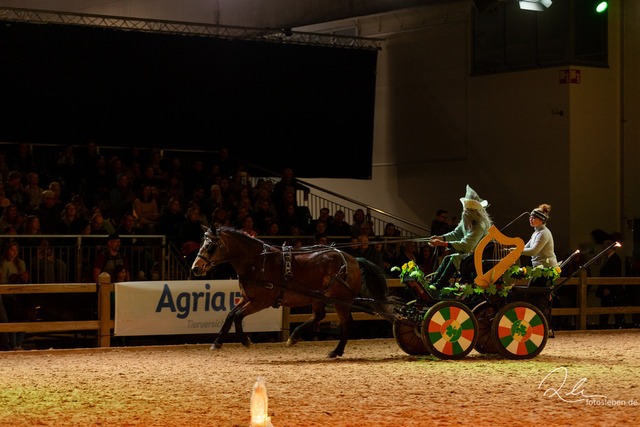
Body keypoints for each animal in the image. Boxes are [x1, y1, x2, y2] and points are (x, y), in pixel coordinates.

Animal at [192, 225, 388, 358]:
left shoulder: (261, 301)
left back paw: (336, 351)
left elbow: (238, 316)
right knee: (319, 316)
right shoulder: (248, 297)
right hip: (318, 296)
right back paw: (293, 337)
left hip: (341, 300)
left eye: (210, 245)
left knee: (347, 323)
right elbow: (230, 315)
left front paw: (245, 340)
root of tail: (352, 259)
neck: (257, 261)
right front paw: (217, 342)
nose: (195, 268)